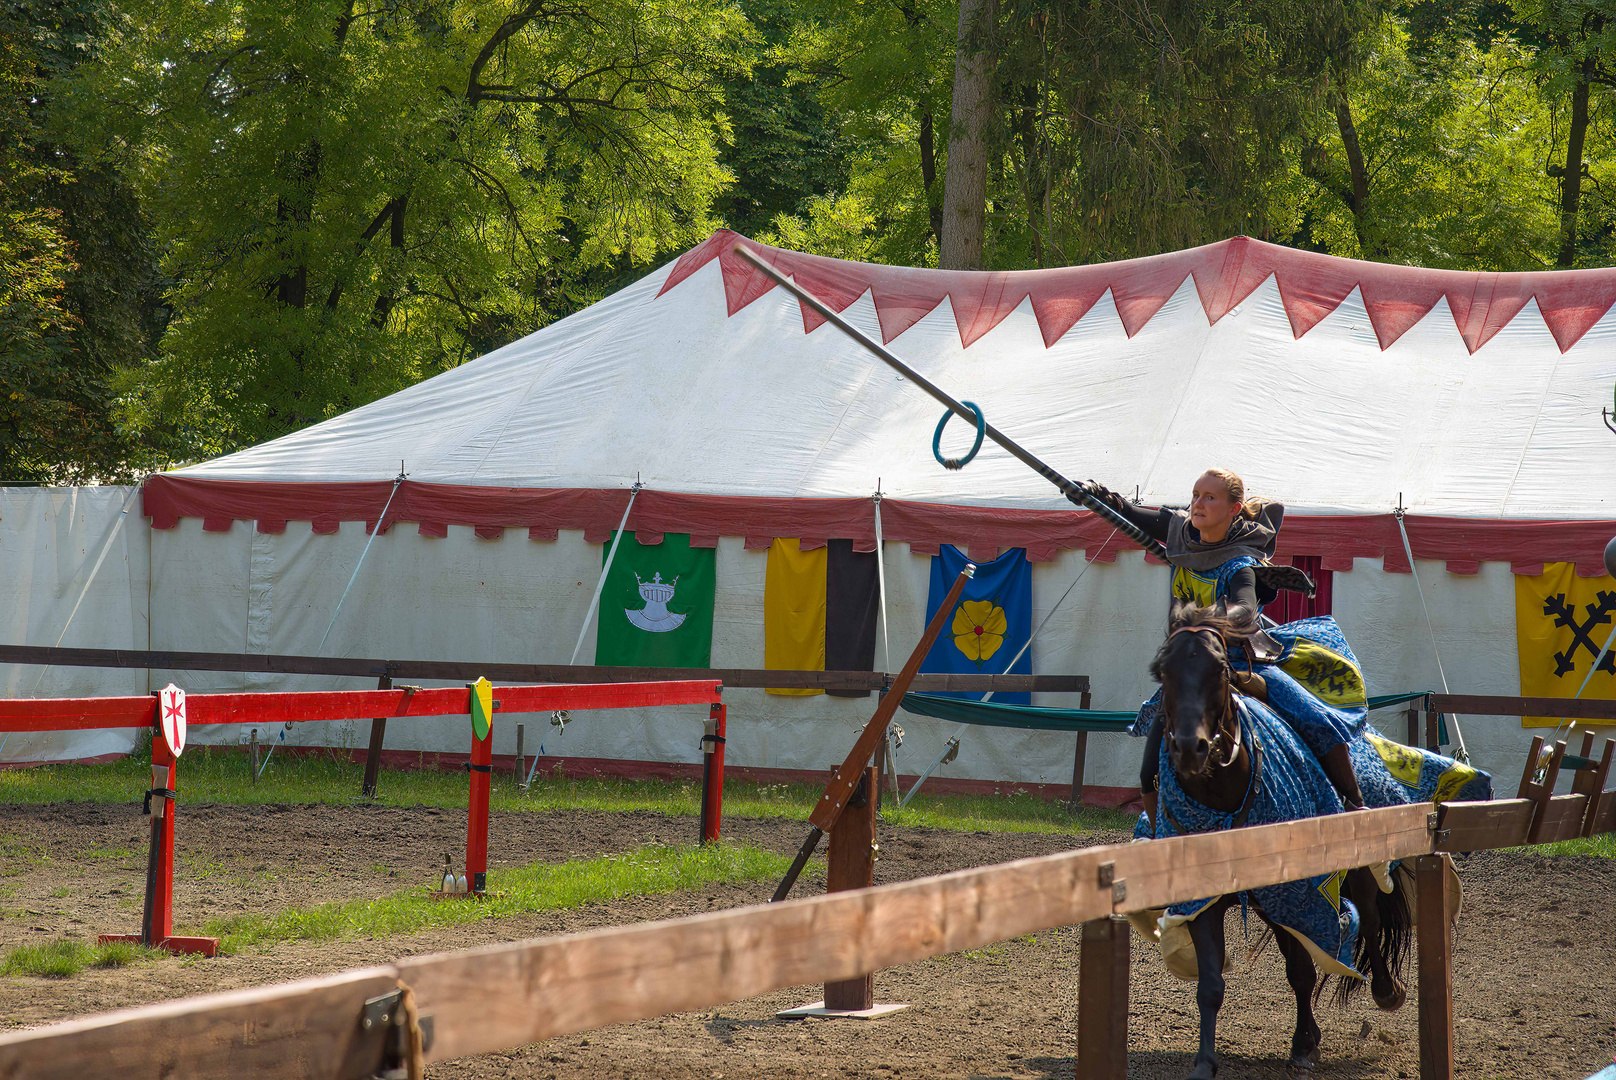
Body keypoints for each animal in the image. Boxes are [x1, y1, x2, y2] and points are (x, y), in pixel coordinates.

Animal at [1144, 604, 1409, 1073]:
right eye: (1164, 671)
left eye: (1220, 668)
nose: (1190, 748)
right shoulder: (1204, 901)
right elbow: (1211, 984)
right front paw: (1205, 1062)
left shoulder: (1294, 892)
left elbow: (1302, 971)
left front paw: (1303, 1046)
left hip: (1352, 863)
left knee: (1370, 918)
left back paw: (1385, 990)